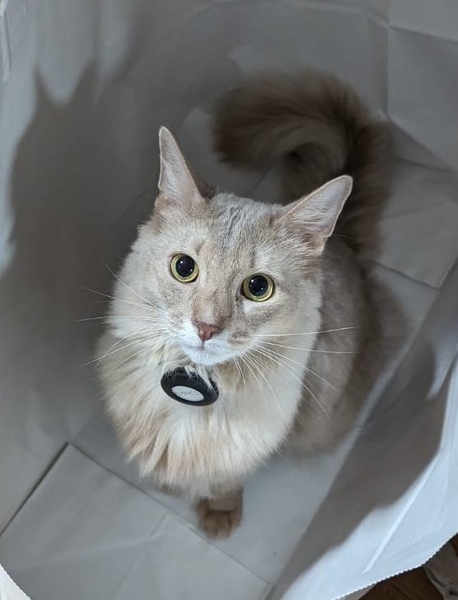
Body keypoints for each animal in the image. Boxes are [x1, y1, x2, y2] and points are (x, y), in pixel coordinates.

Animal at [96, 69, 391, 539]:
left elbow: (225, 479)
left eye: (257, 288)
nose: (205, 327)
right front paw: (166, 484)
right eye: (184, 267)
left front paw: (219, 512)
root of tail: (343, 241)